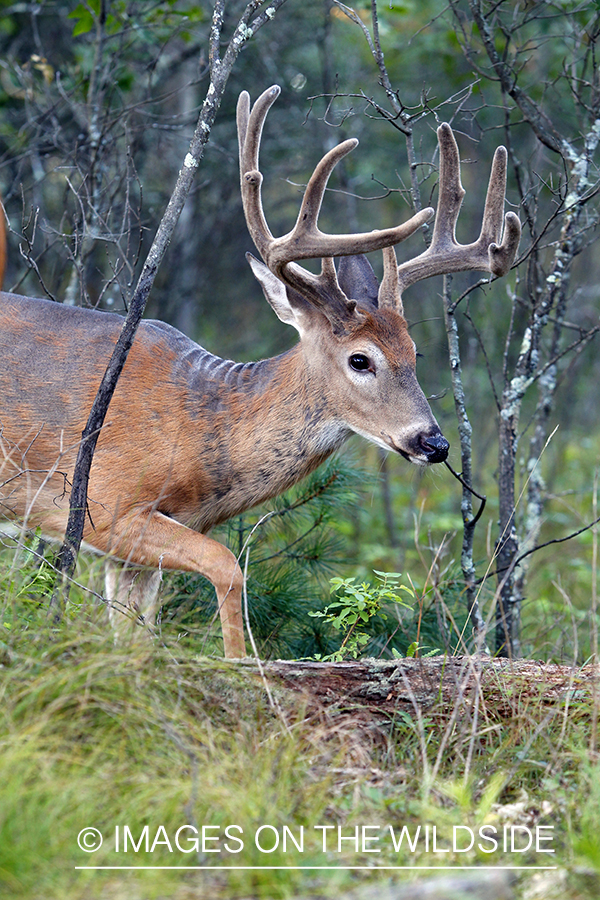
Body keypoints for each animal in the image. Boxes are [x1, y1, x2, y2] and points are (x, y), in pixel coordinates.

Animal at [0, 88, 520, 656]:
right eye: (360, 359)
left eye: (416, 353)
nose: (434, 442)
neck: (197, 426)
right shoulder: (103, 503)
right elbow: (227, 566)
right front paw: (239, 662)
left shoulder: (130, 545)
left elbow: (135, 635)